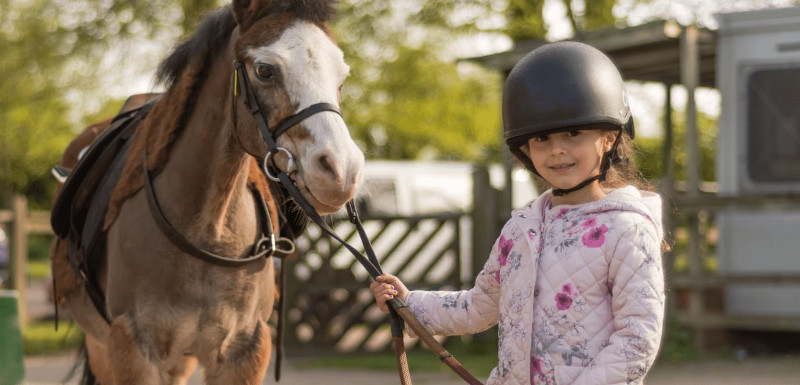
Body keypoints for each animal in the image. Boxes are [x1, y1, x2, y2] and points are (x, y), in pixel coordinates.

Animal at [50, 1, 362, 382]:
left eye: (341, 77)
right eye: (264, 70)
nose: (341, 170)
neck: (206, 232)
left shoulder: (244, 353)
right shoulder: (132, 350)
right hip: (102, 348)